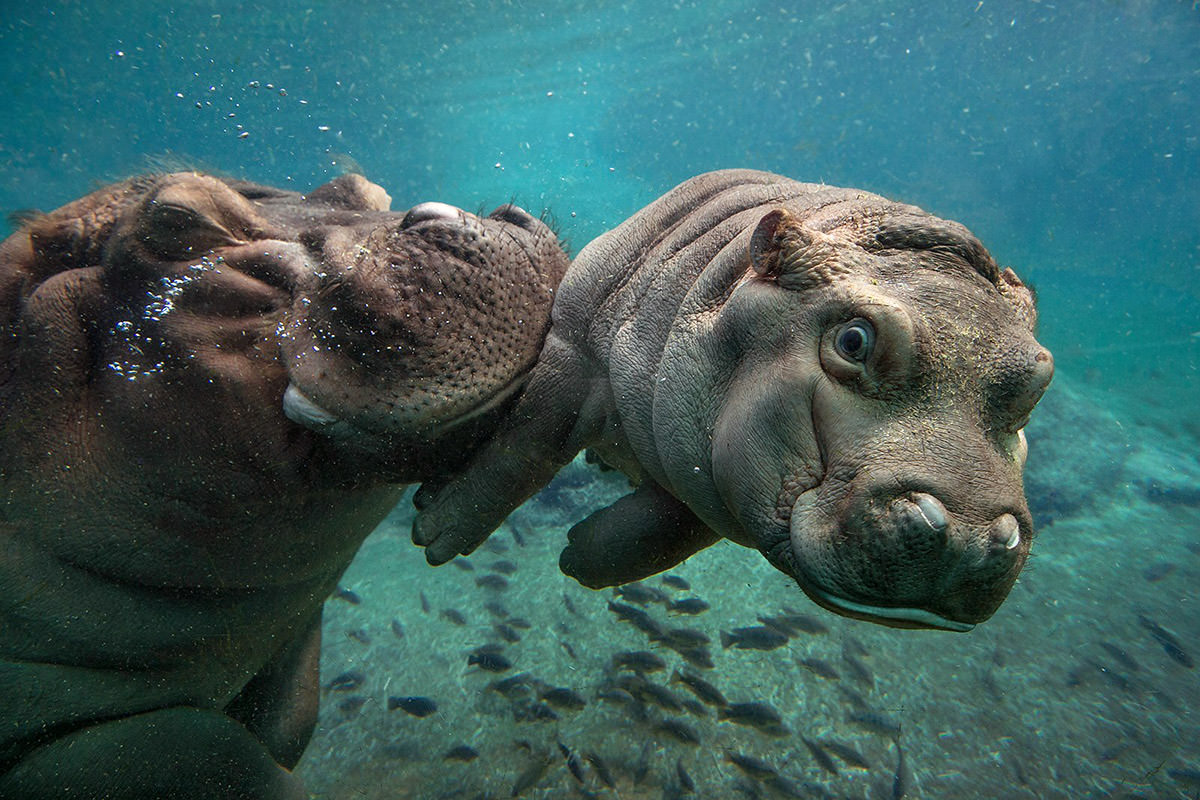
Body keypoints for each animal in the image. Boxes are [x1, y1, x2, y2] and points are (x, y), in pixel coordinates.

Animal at [0, 172, 568, 796]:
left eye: (366, 189)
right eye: (175, 219)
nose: (490, 220)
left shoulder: (291, 635)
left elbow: (292, 722)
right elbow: (219, 751)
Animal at [417, 172, 1056, 633]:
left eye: (1037, 383)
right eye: (853, 340)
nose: (969, 535)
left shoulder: (707, 476)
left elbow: (658, 535)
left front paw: (578, 557)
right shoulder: (575, 351)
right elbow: (523, 448)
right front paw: (434, 530)